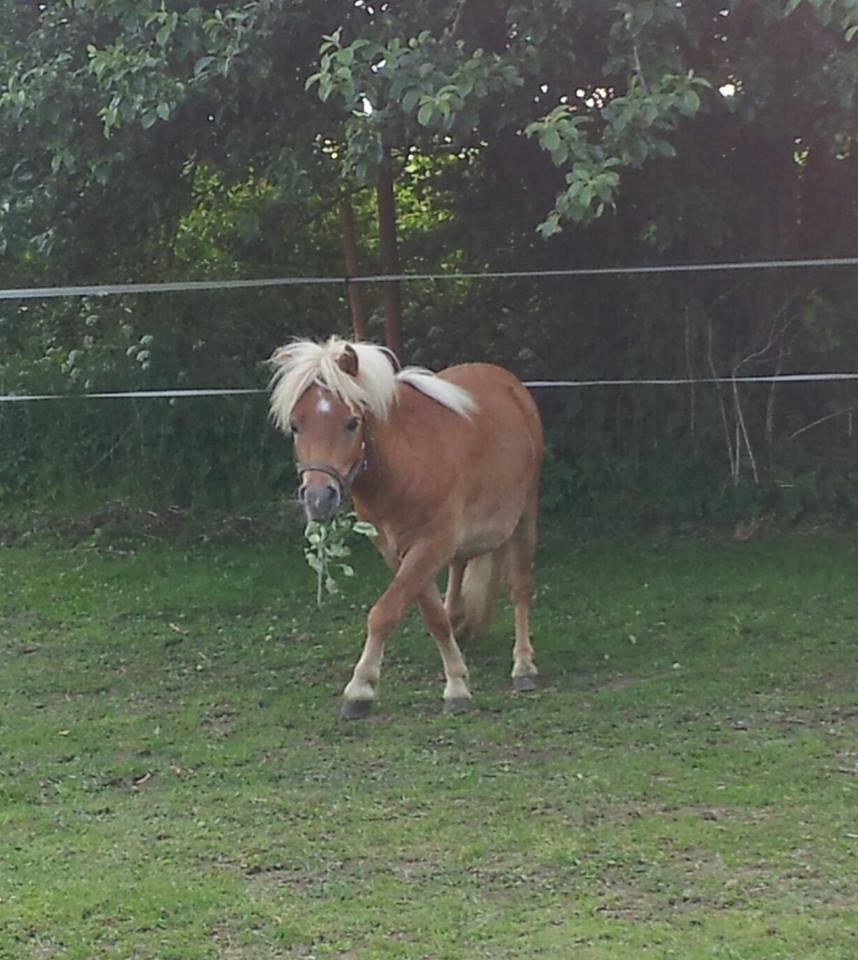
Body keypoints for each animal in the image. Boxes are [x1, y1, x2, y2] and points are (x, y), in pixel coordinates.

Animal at [268, 334, 540, 716]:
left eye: (351, 423)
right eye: (295, 425)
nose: (319, 498)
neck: (406, 462)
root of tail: (510, 384)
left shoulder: (430, 545)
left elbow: (384, 612)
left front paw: (361, 688)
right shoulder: (397, 550)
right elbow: (432, 615)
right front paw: (456, 678)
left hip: (525, 516)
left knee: (520, 588)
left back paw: (524, 667)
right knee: (459, 570)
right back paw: (461, 624)